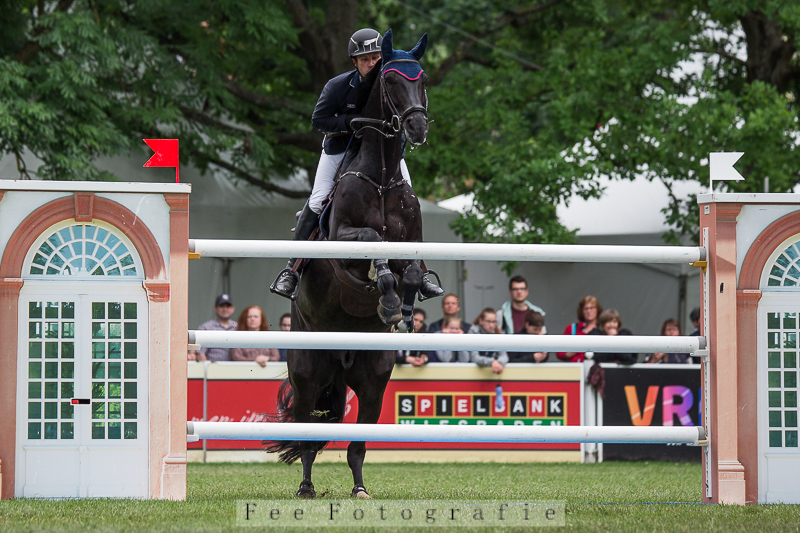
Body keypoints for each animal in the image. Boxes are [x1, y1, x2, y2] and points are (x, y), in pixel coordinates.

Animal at [265, 30, 430, 499]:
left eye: (422, 78)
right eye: (390, 80)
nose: (417, 127)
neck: (382, 176)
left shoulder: (413, 244)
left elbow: (412, 269)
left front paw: (403, 309)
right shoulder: (342, 245)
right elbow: (374, 245)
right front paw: (388, 296)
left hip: (374, 379)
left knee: (358, 442)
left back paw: (359, 489)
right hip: (307, 372)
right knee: (305, 433)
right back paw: (305, 487)